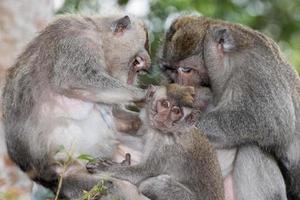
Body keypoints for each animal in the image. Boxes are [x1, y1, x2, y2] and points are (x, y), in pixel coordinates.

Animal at [2, 14, 150, 198]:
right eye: (144, 44)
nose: (148, 61)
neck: (100, 36)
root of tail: (45, 177)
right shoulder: (78, 41)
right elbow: (74, 79)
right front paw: (145, 94)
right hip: (69, 172)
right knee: (109, 187)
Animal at [88, 84, 224, 200]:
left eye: (176, 112)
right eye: (164, 104)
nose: (164, 117)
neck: (172, 131)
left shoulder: (166, 147)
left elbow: (142, 172)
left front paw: (105, 168)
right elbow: (141, 143)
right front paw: (116, 134)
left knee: (154, 183)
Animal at [162, 14, 298, 199]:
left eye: (187, 69)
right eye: (171, 70)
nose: (178, 85)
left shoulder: (256, 69)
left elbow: (272, 122)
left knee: (251, 146)